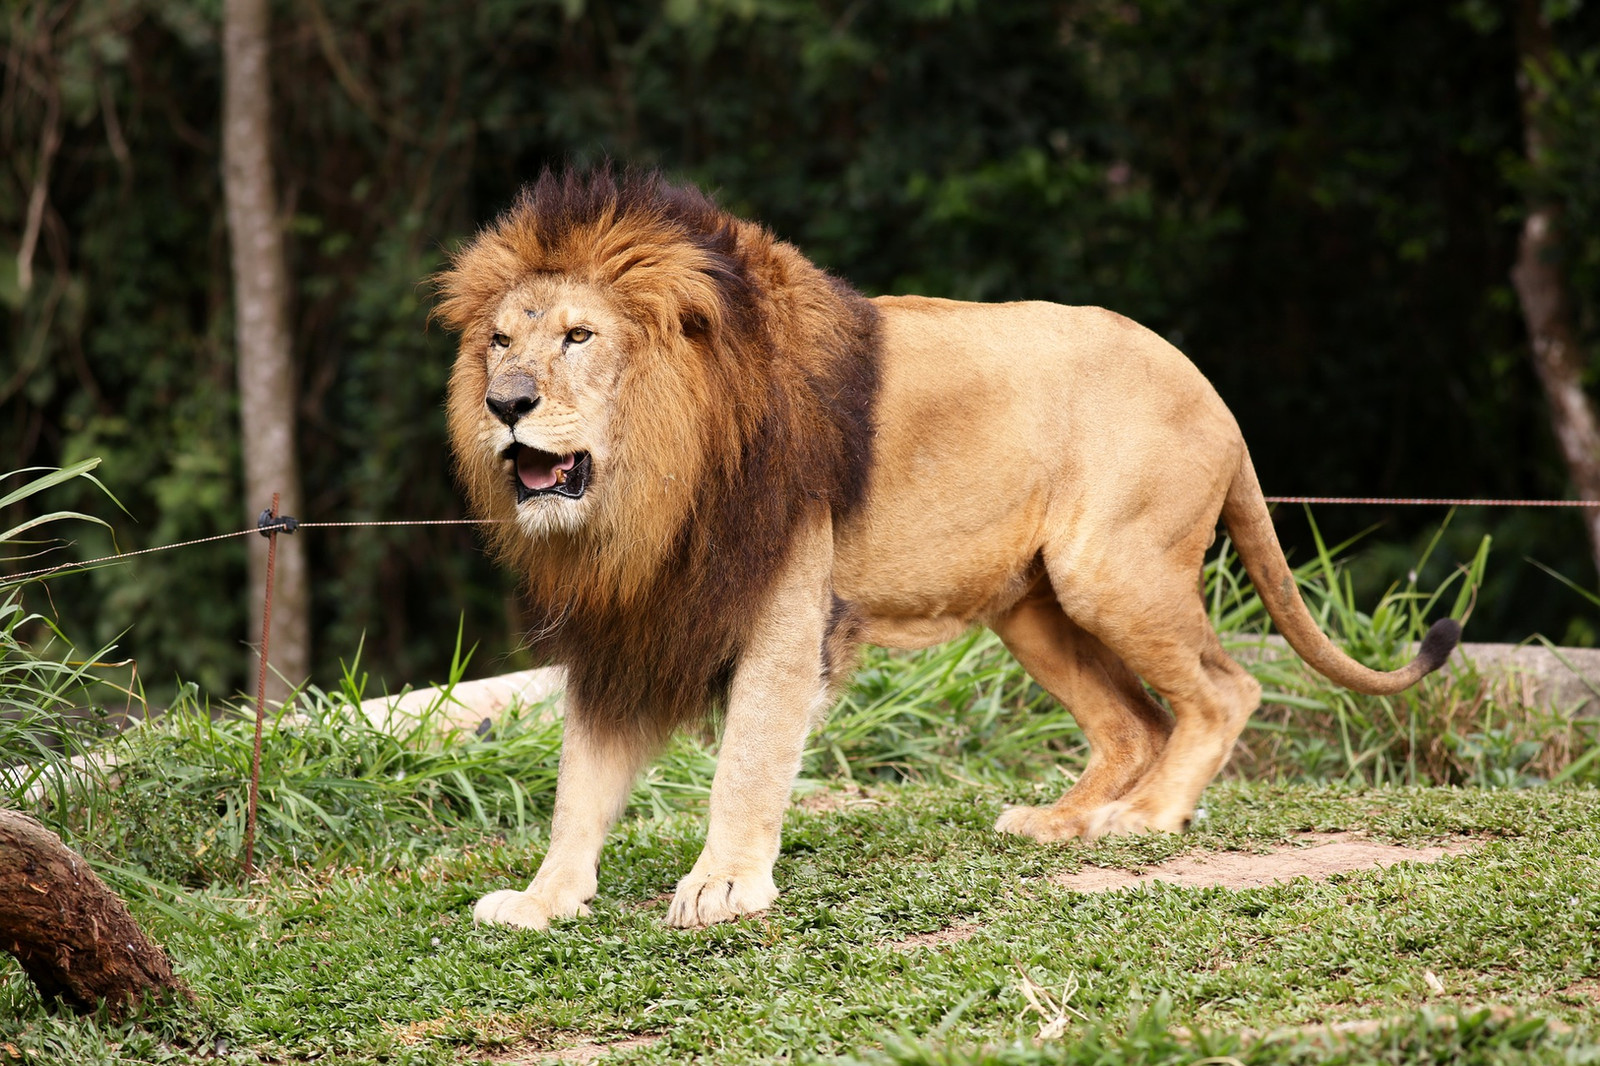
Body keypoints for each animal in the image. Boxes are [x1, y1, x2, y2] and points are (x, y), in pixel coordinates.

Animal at [434, 167, 1460, 931]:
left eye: (579, 336)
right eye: (499, 342)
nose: (506, 403)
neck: (650, 489)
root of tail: (1211, 391)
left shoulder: (784, 609)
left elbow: (749, 758)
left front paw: (722, 883)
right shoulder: (628, 624)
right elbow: (582, 780)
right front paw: (542, 900)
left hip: (1111, 570)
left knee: (1223, 690)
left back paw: (1142, 819)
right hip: (1033, 607)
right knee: (1136, 722)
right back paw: (1057, 823)